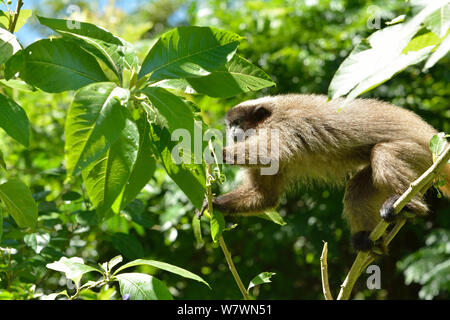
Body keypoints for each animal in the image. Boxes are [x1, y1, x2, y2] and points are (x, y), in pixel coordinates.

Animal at [208, 94, 450, 251]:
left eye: (238, 122)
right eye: (230, 124)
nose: (232, 131)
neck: (269, 116)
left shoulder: (284, 124)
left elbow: (270, 151)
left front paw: (214, 152)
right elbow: (265, 195)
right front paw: (215, 204)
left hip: (421, 154)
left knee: (383, 152)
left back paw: (411, 206)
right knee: (356, 189)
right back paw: (368, 240)